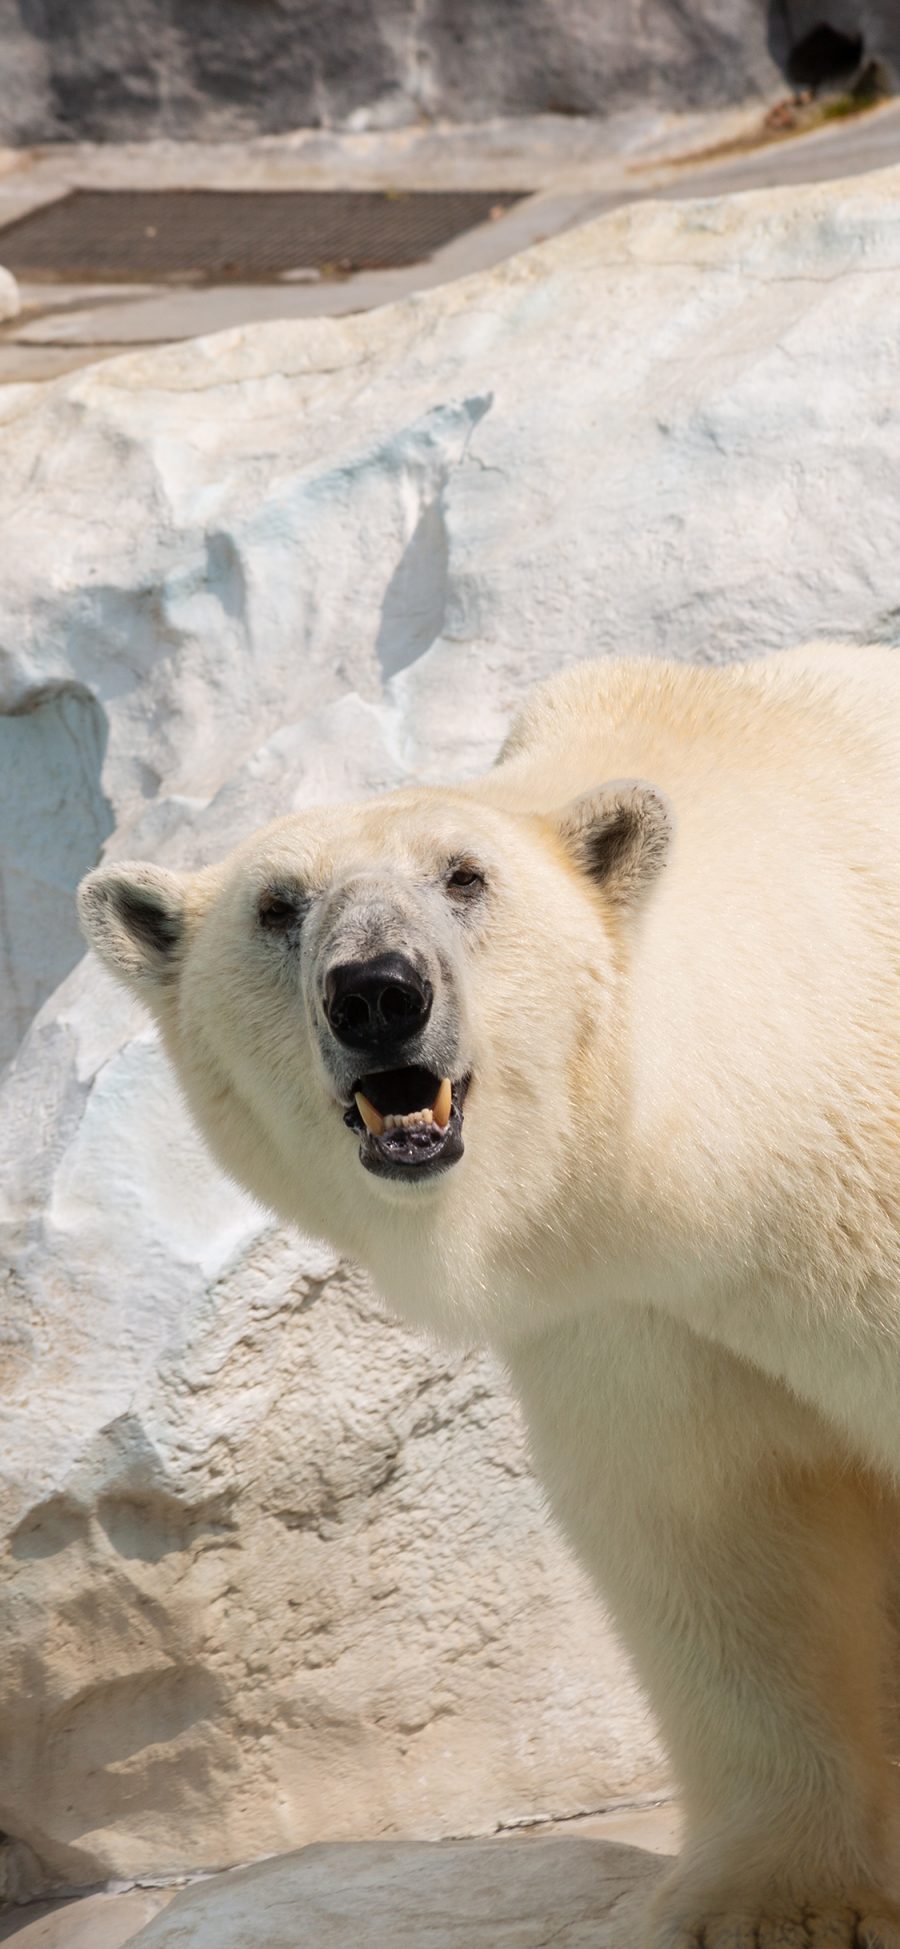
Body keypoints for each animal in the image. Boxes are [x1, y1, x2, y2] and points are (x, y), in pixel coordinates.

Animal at [80, 647, 900, 1949]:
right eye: (278, 904)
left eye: (464, 876)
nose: (376, 992)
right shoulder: (629, 1308)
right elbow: (714, 1520)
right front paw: (778, 1901)